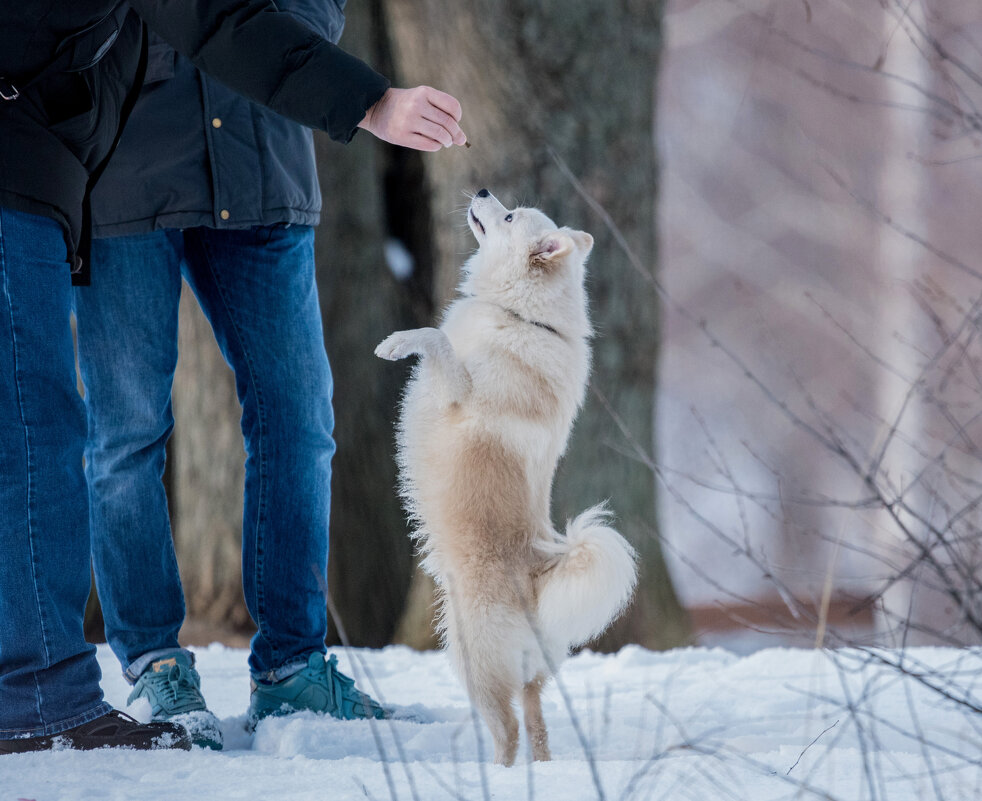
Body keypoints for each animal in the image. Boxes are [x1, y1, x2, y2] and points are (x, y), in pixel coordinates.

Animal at [374, 188, 640, 764]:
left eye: (511, 216)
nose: (482, 192)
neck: (521, 316)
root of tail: (541, 587)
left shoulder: (457, 392)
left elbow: (435, 338)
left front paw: (399, 342)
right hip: (525, 674)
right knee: (537, 724)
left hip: (471, 658)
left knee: (511, 728)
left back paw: (495, 772)